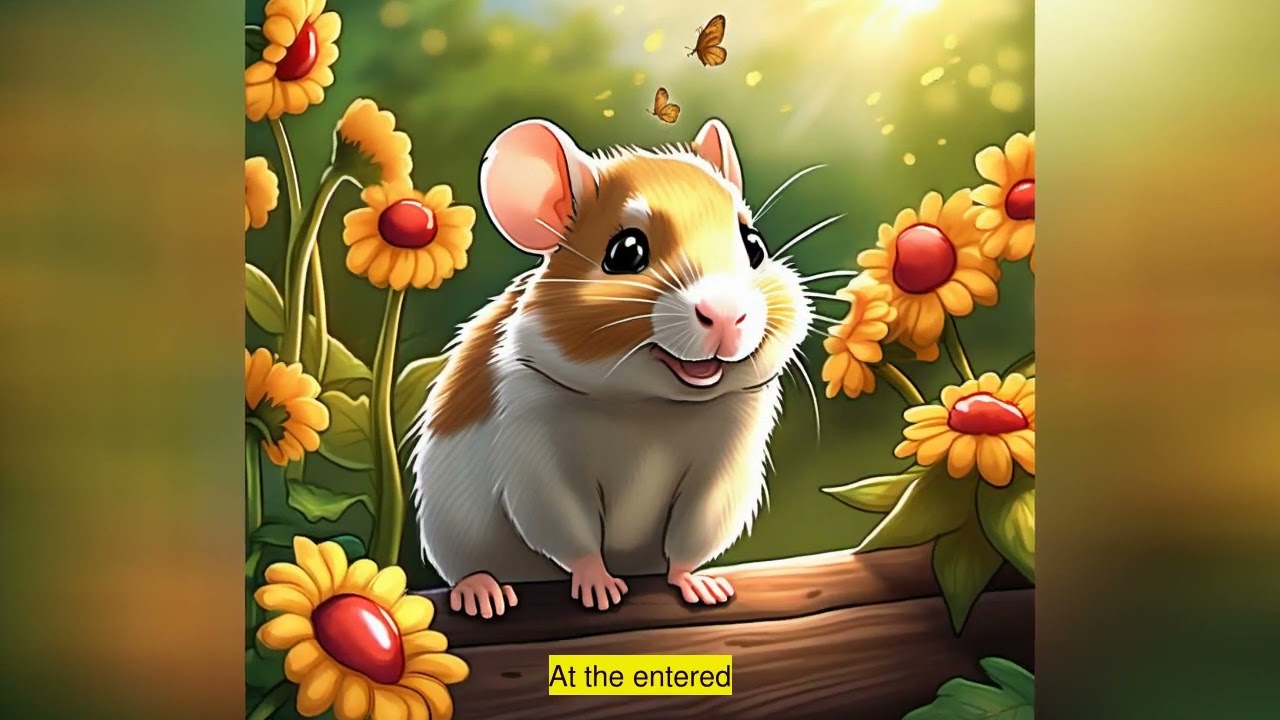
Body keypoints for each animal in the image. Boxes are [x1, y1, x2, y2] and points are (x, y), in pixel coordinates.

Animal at [408, 117, 812, 618]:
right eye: (625, 252)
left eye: (754, 246)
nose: (726, 315)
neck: (647, 404)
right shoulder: (538, 455)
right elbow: (571, 530)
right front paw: (599, 588)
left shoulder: (724, 465)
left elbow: (691, 533)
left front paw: (699, 585)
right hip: (450, 527)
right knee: (468, 565)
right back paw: (481, 592)